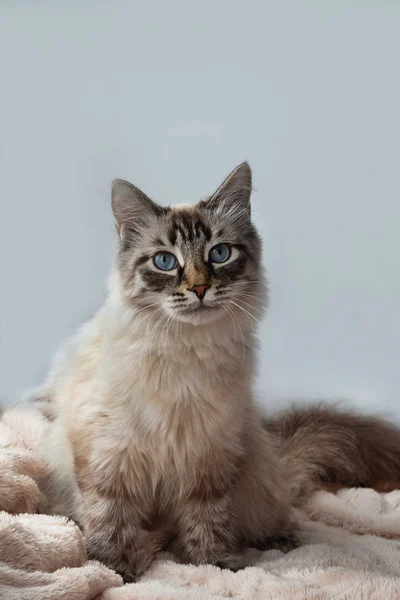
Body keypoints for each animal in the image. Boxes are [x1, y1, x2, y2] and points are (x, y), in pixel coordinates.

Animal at [32, 163, 400, 580]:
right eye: (165, 261)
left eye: (219, 254)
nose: (199, 288)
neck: (186, 351)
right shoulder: (111, 454)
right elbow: (111, 517)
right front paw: (114, 570)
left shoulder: (209, 455)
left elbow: (208, 518)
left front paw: (212, 564)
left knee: (266, 518)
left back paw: (275, 541)